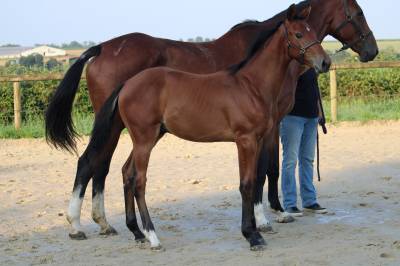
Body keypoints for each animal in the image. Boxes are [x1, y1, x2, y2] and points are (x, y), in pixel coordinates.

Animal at [45, 0, 376, 238]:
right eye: (358, 12)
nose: (371, 50)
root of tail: (101, 48)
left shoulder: (266, 128)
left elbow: (262, 171)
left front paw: (265, 217)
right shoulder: (266, 129)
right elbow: (266, 170)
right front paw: (267, 218)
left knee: (107, 167)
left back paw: (113, 226)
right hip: (118, 126)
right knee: (92, 163)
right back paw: (80, 226)